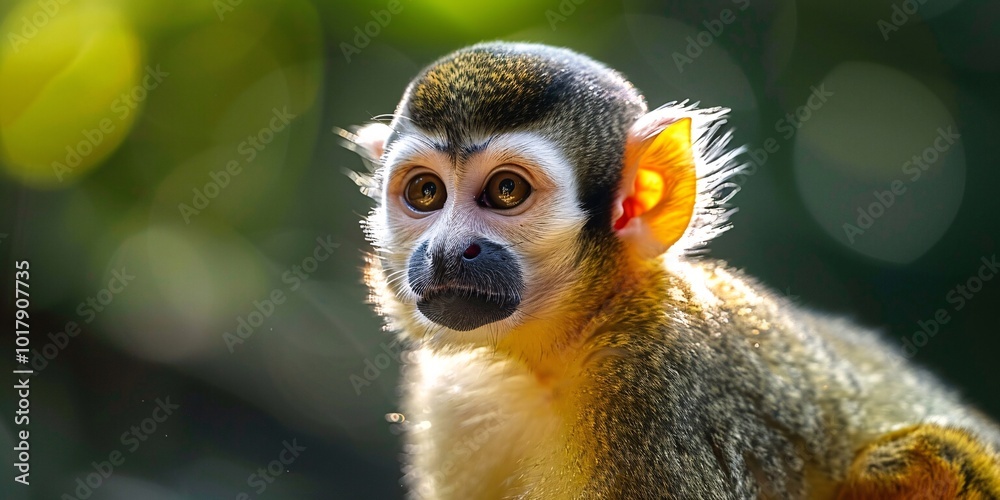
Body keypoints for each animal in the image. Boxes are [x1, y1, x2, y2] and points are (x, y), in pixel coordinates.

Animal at [340, 42, 1000, 499]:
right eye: (425, 193)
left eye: (506, 191)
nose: (449, 251)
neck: (556, 352)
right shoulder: (453, 396)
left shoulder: (652, 393)